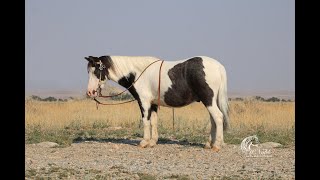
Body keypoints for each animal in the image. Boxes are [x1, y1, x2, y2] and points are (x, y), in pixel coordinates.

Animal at [84, 55, 230, 151]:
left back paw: (217, 145)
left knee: (218, 117)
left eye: (95, 71)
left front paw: (144, 142)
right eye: (88, 71)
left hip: (208, 100)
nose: (90, 92)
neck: (137, 73)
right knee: (213, 120)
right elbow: (154, 121)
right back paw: (209, 144)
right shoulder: (153, 103)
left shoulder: (144, 102)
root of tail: (219, 66)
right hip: (210, 101)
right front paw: (153, 142)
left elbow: (146, 121)